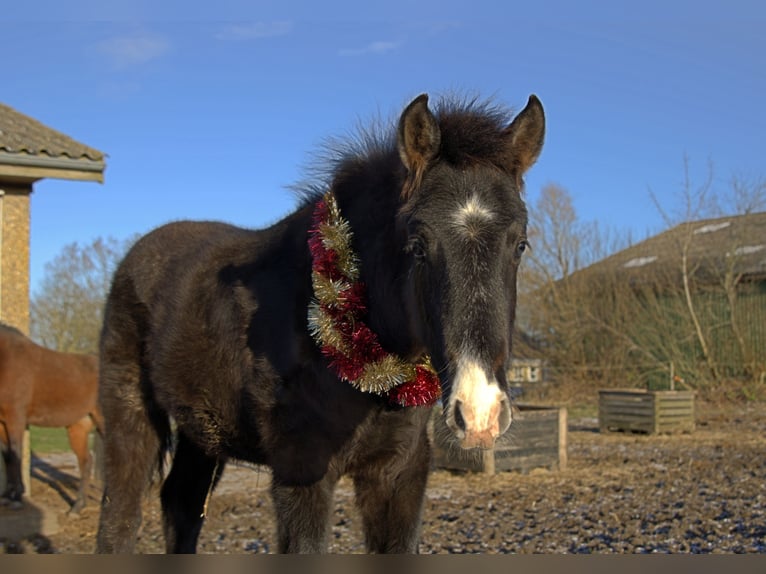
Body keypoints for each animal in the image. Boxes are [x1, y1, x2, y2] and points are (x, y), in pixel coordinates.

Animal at [0, 322, 104, 513]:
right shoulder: (2, 422)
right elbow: (7, 455)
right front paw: (6, 496)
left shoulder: (15, 419)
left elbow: (16, 453)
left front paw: (17, 496)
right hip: (78, 427)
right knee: (86, 462)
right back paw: (78, 507)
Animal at [95, 92, 545, 553]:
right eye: (418, 244)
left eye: (520, 244)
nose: (480, 413)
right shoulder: (300, 474)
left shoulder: (398, 474)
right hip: (130, 415)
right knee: (120, 516)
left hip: (202, 432)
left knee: (181, 503)